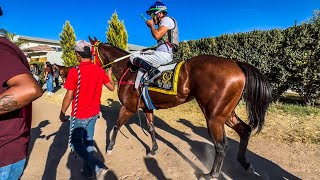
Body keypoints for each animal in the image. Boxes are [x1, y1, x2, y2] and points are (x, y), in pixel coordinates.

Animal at [89, 37, 272, 179]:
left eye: (88, 52)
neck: (129, 70)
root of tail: (235, 64)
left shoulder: (128, 107)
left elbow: (116, 125)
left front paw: (110, 147)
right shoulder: (146, 107)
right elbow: (151, 127)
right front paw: (153, 149)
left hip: (213, 116)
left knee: (221, 145)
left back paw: (211, 174)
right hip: (225, 113)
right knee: (245, 130)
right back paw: (245, 164)